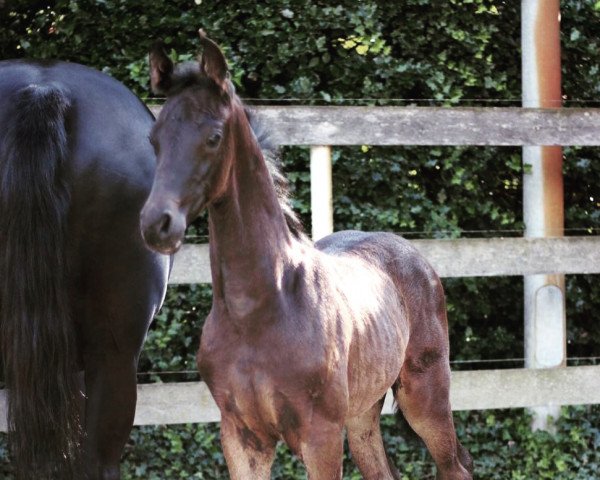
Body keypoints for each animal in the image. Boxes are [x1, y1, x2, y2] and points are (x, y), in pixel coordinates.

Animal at [142, 31, 474, 480]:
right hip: (363, 414)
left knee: (455, 465)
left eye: (213, 136)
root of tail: (415, 257)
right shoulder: (241, 437)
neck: (256, 312)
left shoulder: (321, 437)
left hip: (425, 395)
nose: (156, 224)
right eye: (154, 139)